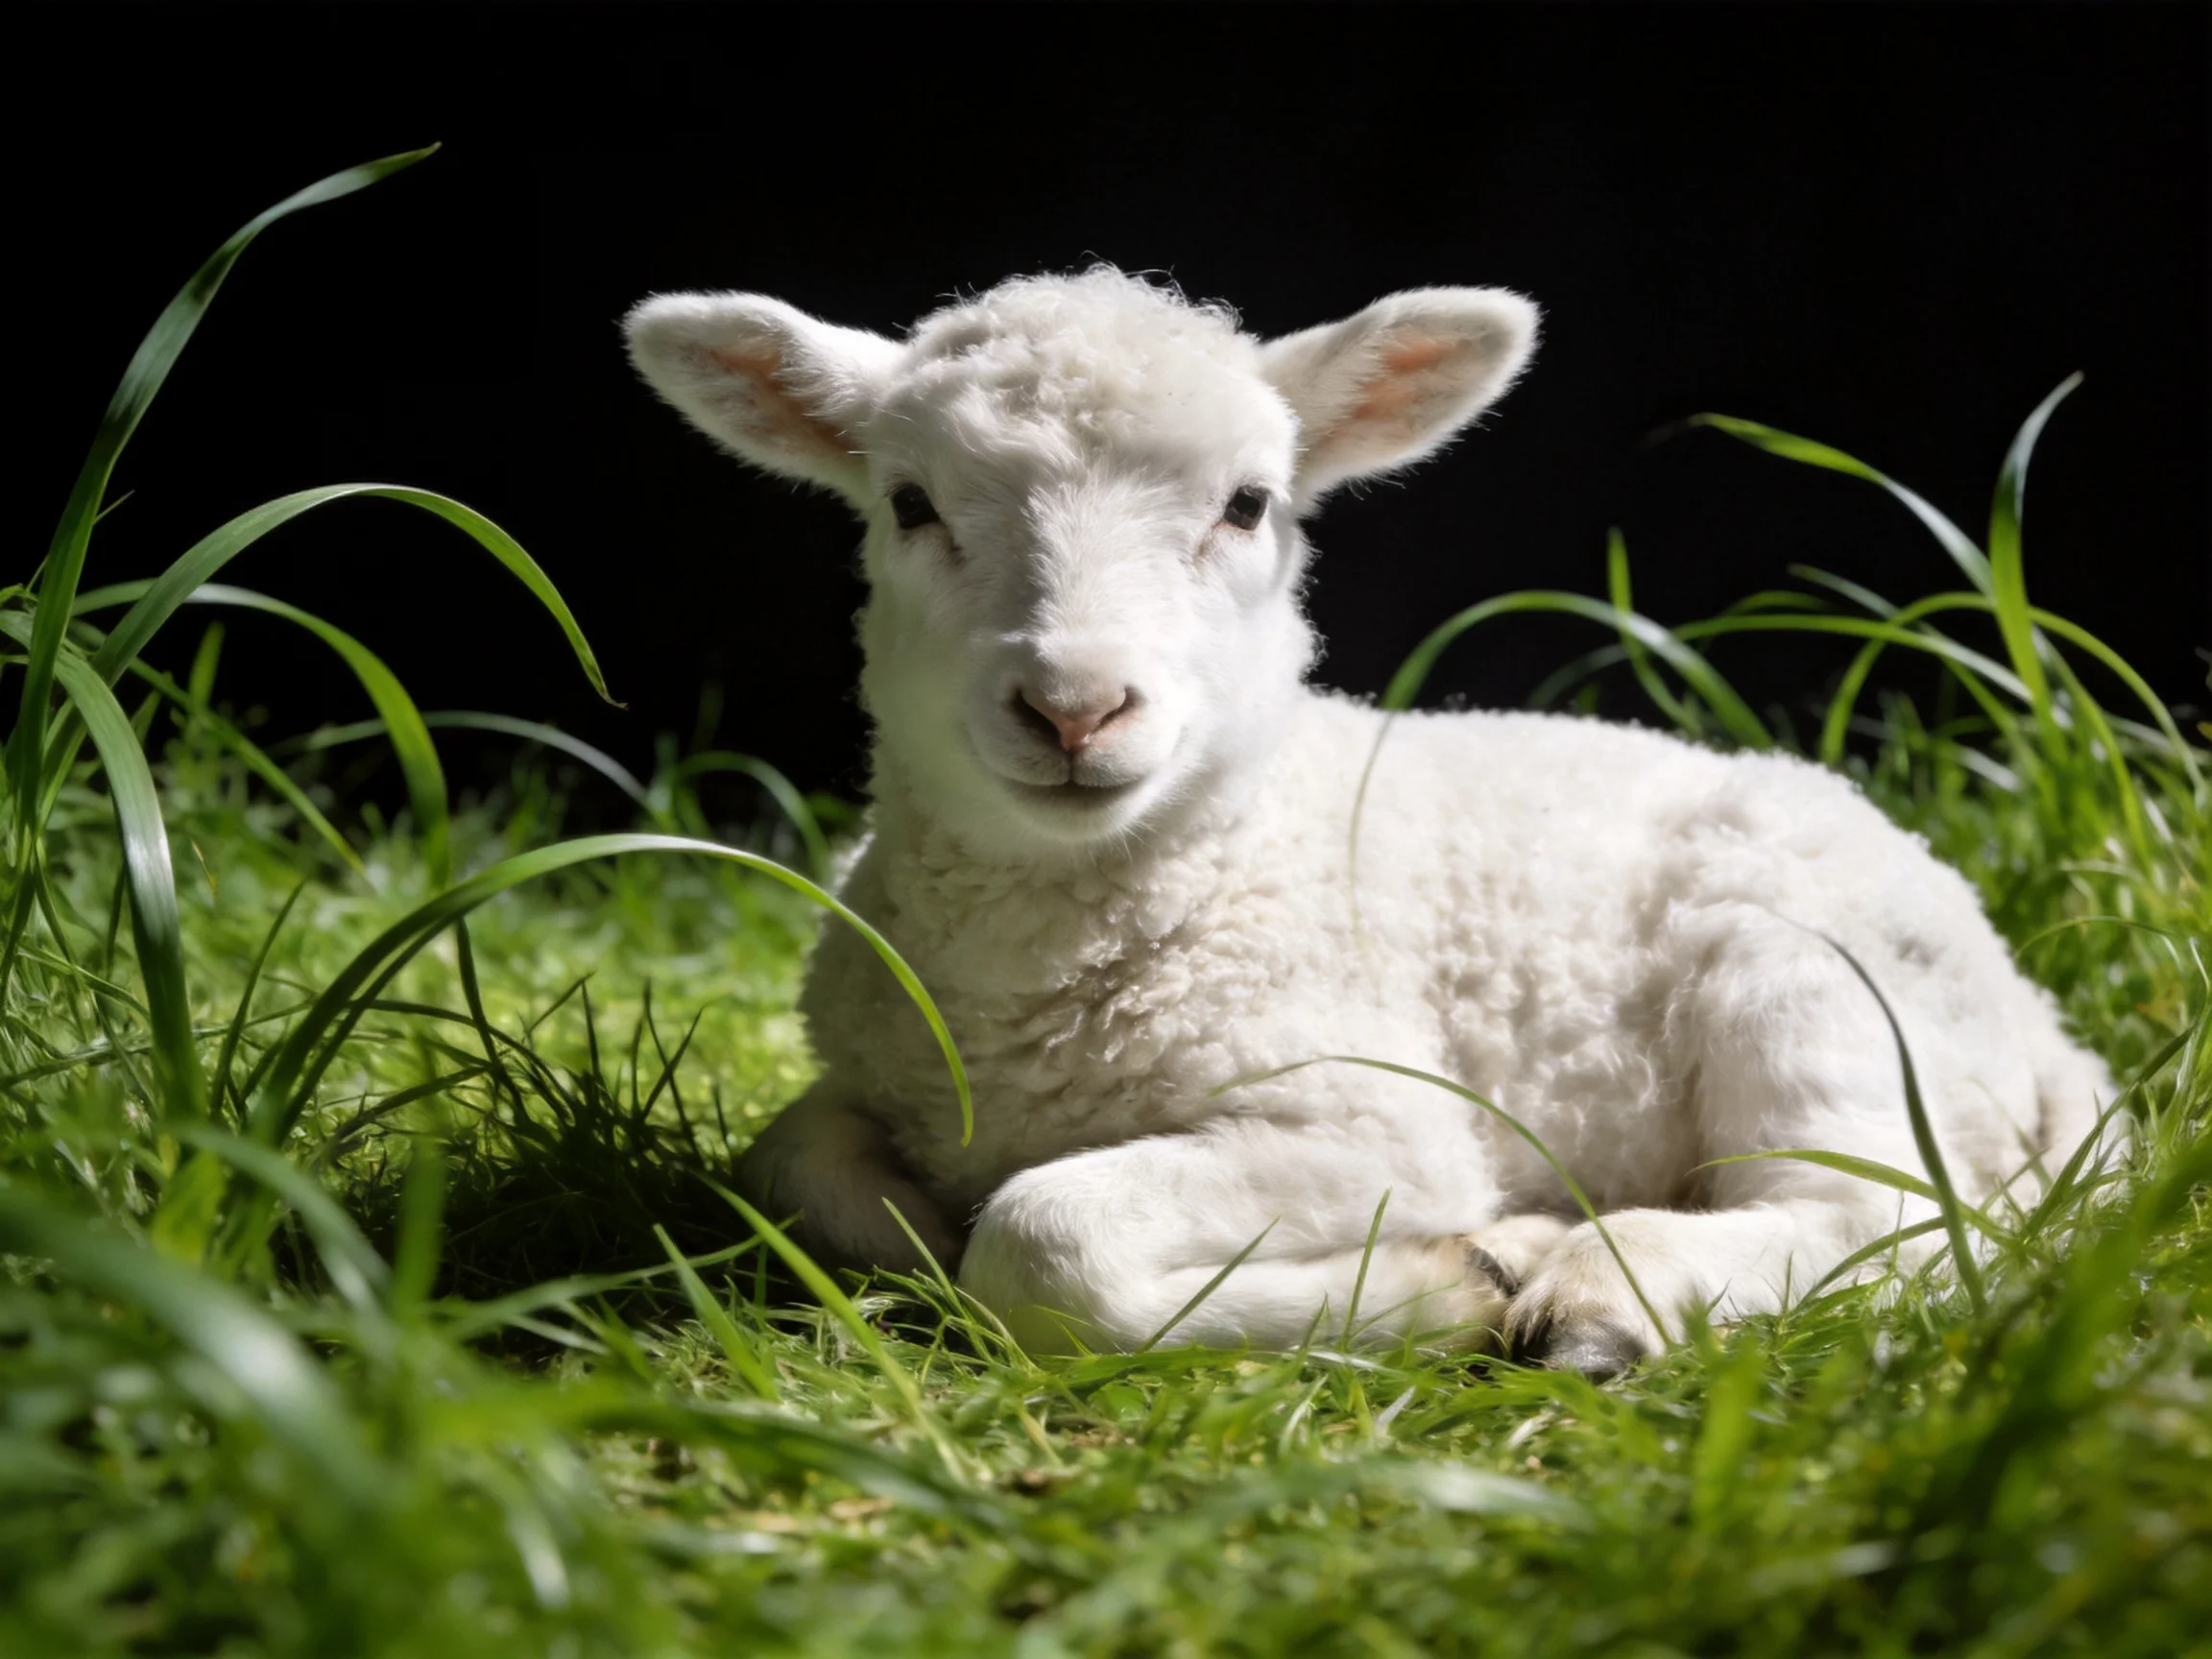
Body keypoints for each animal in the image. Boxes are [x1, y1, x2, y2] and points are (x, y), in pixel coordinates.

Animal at [623, 267, 2114, 1374]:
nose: (1074, 707)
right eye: (910, 504)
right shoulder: (862, 1074)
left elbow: (1043, 1241)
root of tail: (2040, 1027)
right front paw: (902, 1236)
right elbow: (792, 1168)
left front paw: (1439, 1286)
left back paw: (1599, 1292)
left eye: (1247, 505)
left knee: (1890, 1218)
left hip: (1814, 982)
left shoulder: (1376, 1121)